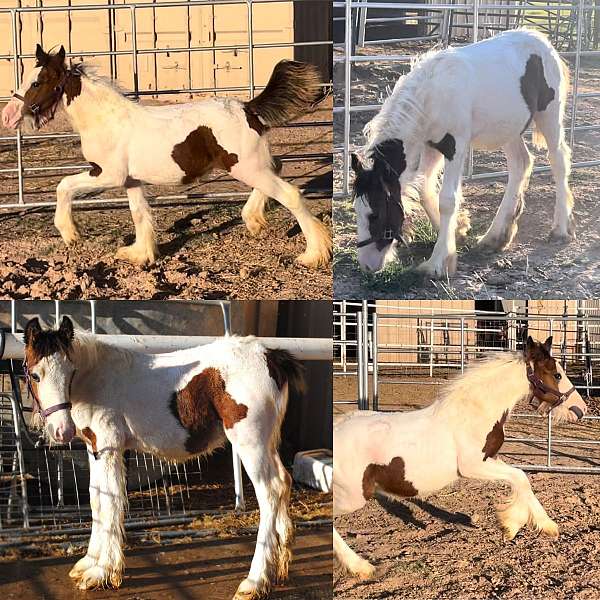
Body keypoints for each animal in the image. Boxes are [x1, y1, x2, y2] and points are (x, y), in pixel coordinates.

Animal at [22, 316, 304, 596]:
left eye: (71, 372)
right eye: (35, 374)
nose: (62, 430)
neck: (96, 379)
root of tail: (272, 357)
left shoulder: (109, 447)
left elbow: (111, 502)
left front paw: (102, 572)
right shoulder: (95, 449)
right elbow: (96, 500)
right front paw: (89, 563)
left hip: (250, 442)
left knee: (269, 492)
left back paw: (254, 582)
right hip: (267, 443)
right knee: (284, 482)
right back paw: (279, 570)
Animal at [336, 336, 588, 580]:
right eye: (557, 374)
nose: (580, 409)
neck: (473, 413)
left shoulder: (489, 459)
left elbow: (521, 477)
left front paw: (533, 525)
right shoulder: (472, 466)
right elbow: (519, 477)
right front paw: (519, 525)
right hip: (353, 497)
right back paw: (362, 567)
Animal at [352, 29, 572, 276]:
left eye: (375, 214)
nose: (367, 265)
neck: (431, 96)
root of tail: (542, 40)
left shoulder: (454, 145)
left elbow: (447, 199)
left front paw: (438, 263)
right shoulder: (431, 145)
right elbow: (425, 189)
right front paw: (456, 231)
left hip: (549, 115)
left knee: (558, 161)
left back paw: (560, 229)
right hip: (509, 129)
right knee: (521, 164)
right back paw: (495, 237)